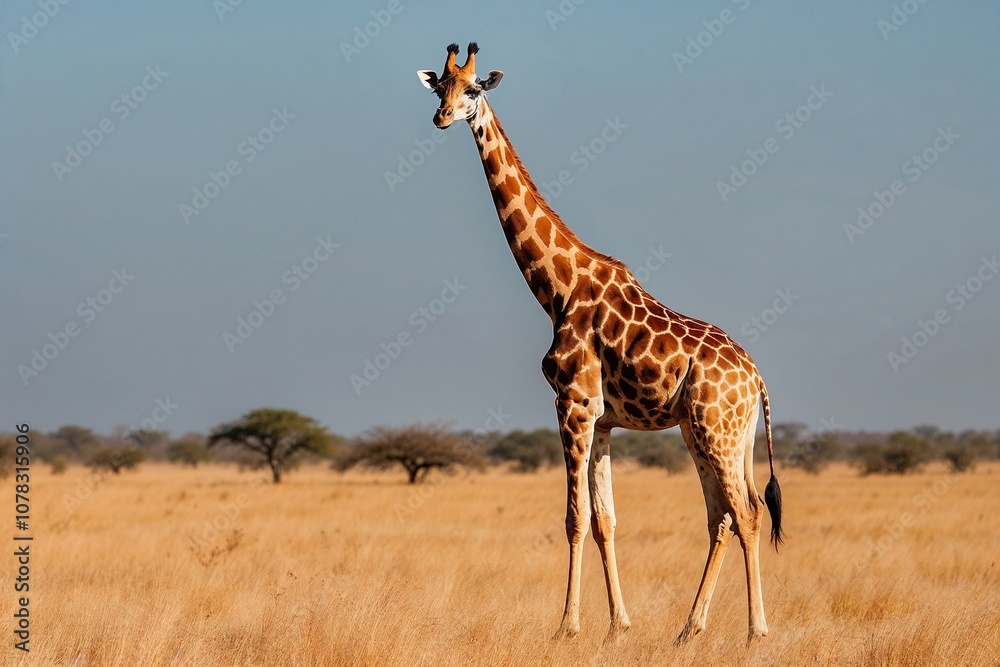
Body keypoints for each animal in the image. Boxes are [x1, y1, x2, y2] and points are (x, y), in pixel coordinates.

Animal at [417, 43, 784, 644]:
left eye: (472, 90)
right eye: (439, 88)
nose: (442, 118)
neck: (557, 289)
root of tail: (757, 380)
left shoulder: (573, 403)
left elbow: (574, 518)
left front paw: (566, 627)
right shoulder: (604, 418)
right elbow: (605, 520)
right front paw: (618, 626)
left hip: (717, 429)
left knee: (747, 513)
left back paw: (756, 632)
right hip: (713, 431)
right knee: (723, 515)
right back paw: (688, 630)